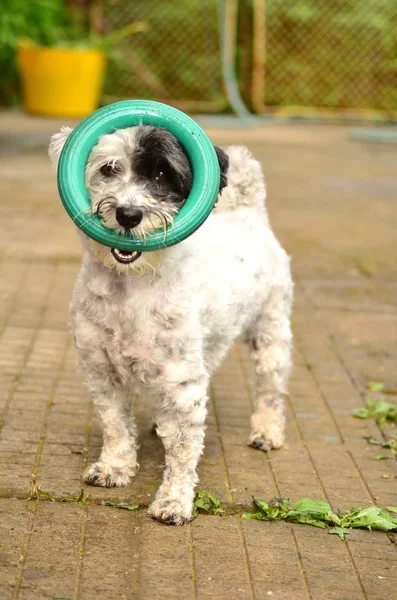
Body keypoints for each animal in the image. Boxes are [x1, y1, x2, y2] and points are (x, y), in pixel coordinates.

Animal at [48, 123, 290, 524]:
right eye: (108, 169)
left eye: (162, 174)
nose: (128, 213)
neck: (131, 289)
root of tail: (249, 210)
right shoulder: (102, 373)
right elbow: (116, 427)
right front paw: (114, 468)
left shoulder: (182, 384)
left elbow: (182, 449)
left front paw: (174, 501)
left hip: (271, 336)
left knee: (269, 389)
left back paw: (267, 432)